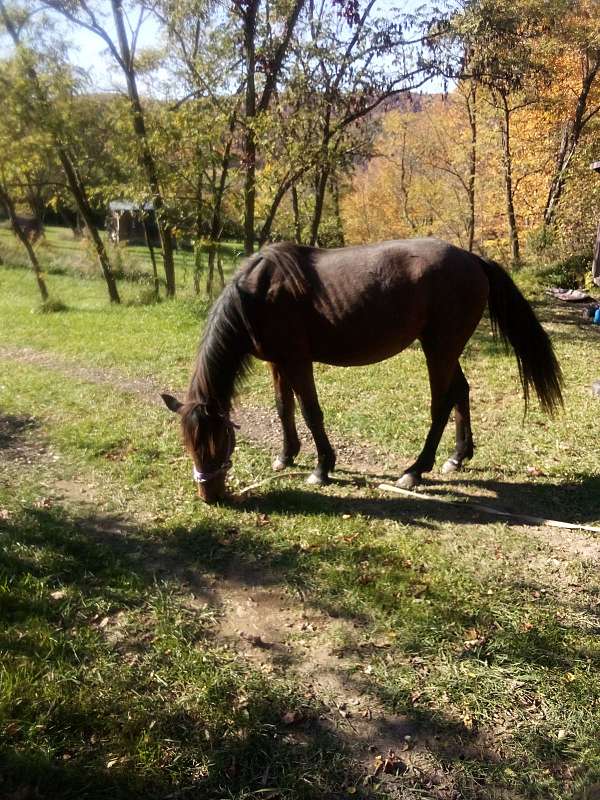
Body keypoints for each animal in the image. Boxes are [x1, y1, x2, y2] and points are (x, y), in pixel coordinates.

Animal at [161, 238, 564, 504]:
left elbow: (310, 412)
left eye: (216, 442)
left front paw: (322, 468)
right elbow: (283, 408)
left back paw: (415, 470)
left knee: (442, 403)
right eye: (189, 444)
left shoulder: (297, 360)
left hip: (439, 348)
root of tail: (473, 259)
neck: (259, 292)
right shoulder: (277, 362)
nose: (209, 495)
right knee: (461, 392)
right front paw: (286, 455)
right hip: (446, 349)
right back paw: (458, 456)